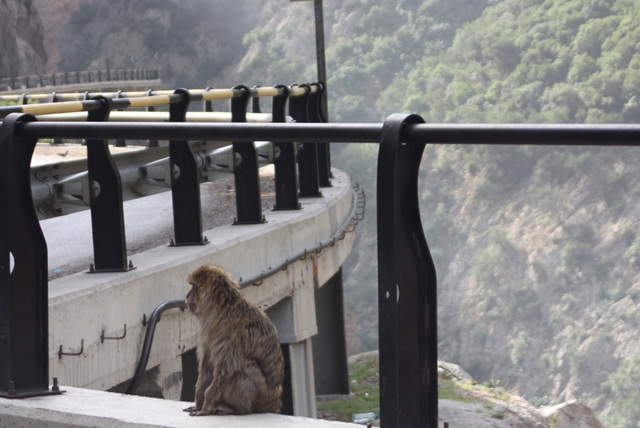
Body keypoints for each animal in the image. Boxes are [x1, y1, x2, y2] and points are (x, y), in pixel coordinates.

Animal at [185, 264, 284, 414]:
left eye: (194, 286)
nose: (187, 296)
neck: (220, 306)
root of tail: (274, 403)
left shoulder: (233, 332)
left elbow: (226, 367)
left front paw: (206, 405)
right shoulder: (207, 327)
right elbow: (207, 364)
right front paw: (199, 402)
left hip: (263, 397)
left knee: (247, 364)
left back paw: (237, 410)